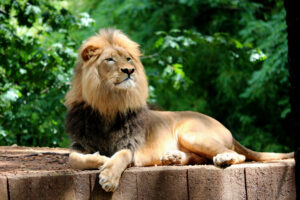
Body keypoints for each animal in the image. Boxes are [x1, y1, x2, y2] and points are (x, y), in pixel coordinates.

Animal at [65, 28, 292, 192]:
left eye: (128, 59)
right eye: (110, 59)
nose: (129, 70)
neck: (108, 104)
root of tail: (224, 126)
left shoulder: (130, 145)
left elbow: (120, 156)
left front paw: (109, 175)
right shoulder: (79, 144)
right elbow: (73, 158)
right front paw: (102, 158)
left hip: (191, 133)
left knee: (236, 155)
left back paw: (222, 159)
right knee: (201, 158)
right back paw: (173, 158)